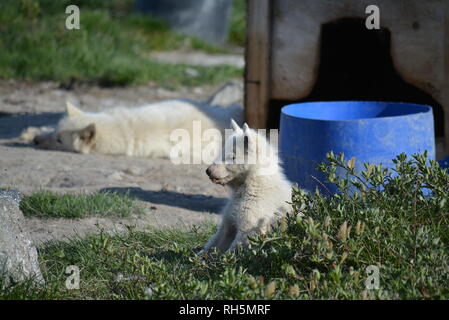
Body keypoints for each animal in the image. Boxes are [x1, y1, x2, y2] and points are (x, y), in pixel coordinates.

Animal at [200, 120, 294, 255]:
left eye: (232, 157)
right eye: (222, 152)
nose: (208, 171)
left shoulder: (252, 226)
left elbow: (235, 248)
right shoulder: (229, 221)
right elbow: (216, 241)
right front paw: (197, 257)